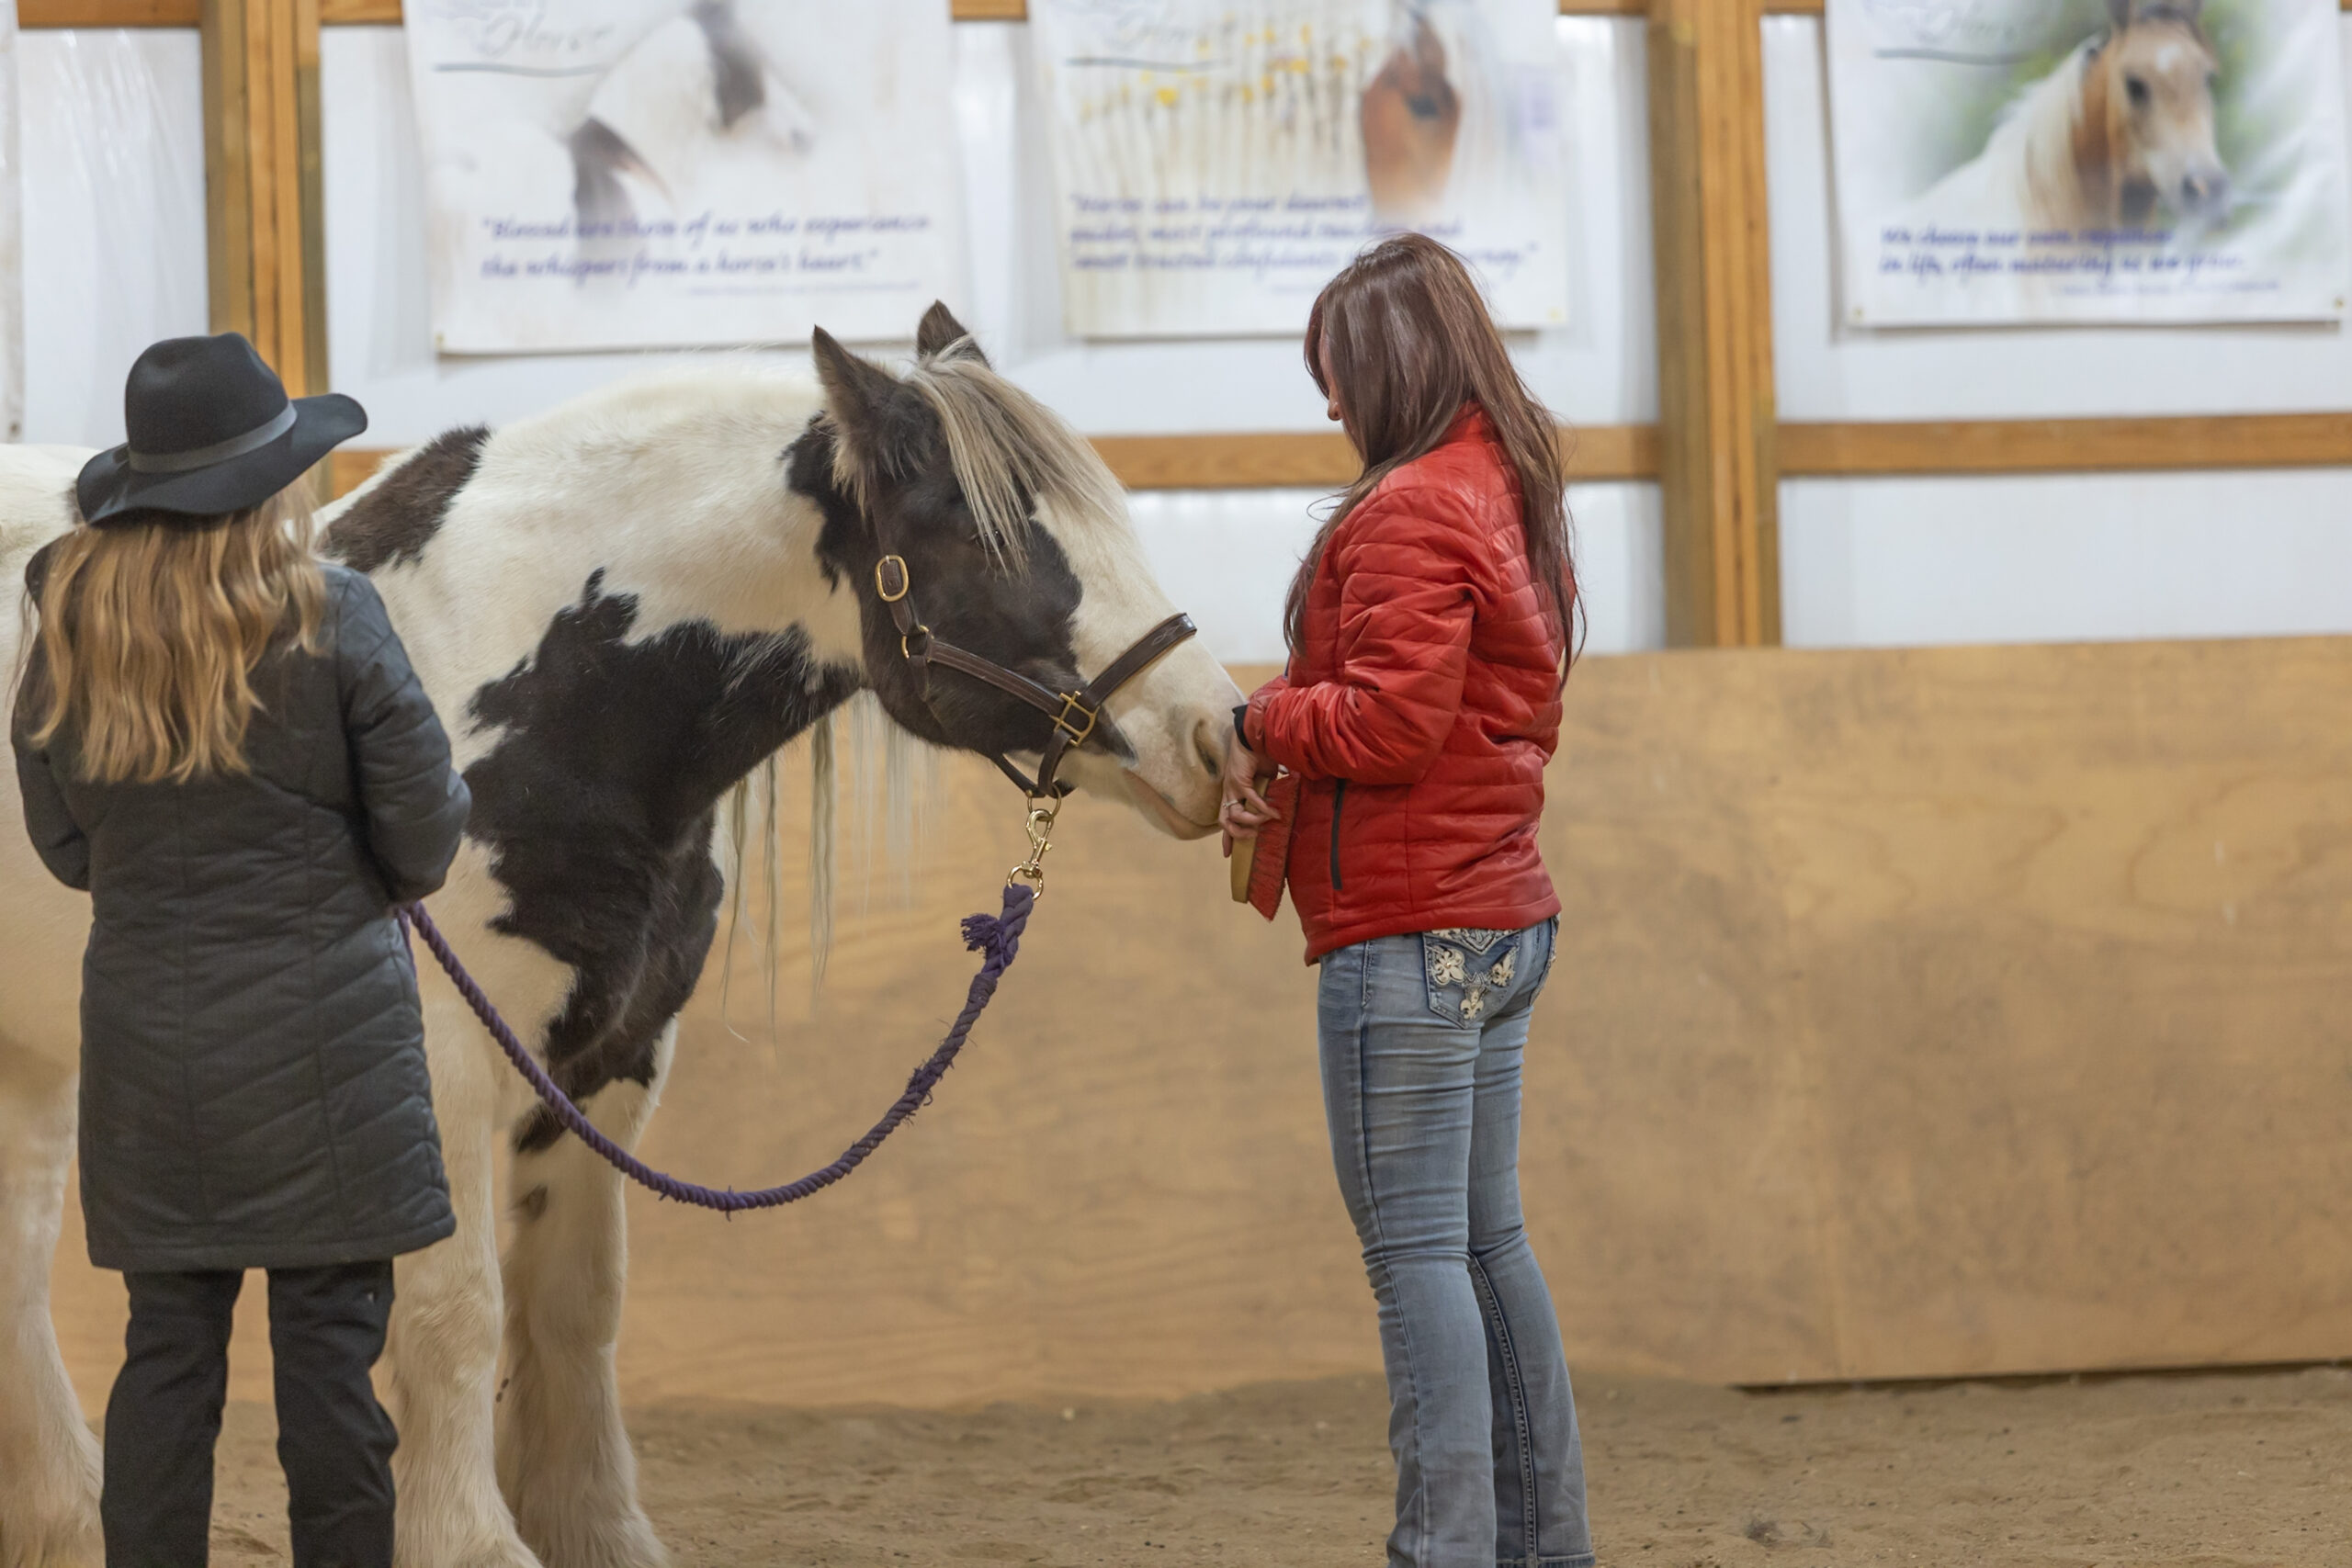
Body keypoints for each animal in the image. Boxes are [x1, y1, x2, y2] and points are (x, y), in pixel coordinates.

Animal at [0, 302, 1242, 1568]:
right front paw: (473, 1542)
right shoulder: (443, 1061)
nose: (1216, 737)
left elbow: (575, 1303)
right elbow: (456, 1311)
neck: (537, 687)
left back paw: (67, 1519)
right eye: (992, 543)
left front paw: (593, 1529)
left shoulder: (614, 1056)